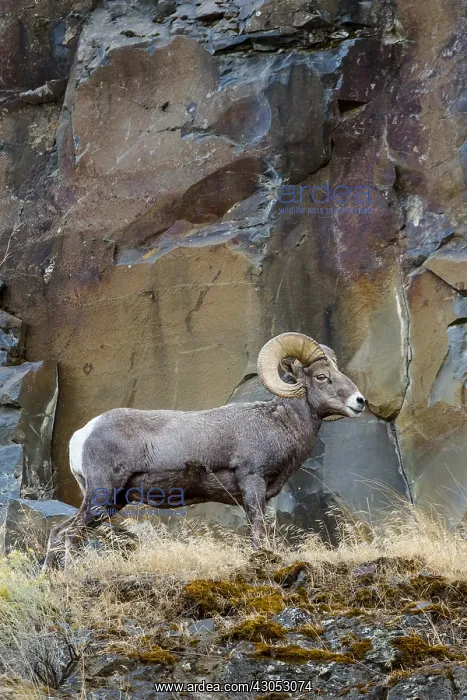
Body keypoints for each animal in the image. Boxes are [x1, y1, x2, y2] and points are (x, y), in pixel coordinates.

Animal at [44, 333, 365, 568]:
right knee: (67, 534)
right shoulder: (252, 482)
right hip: (101, 496)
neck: (279, 423)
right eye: (322, 377)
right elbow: (257, 530)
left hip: (112, 501)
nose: (359, 401)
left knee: (62, 534)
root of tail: (82, 435)